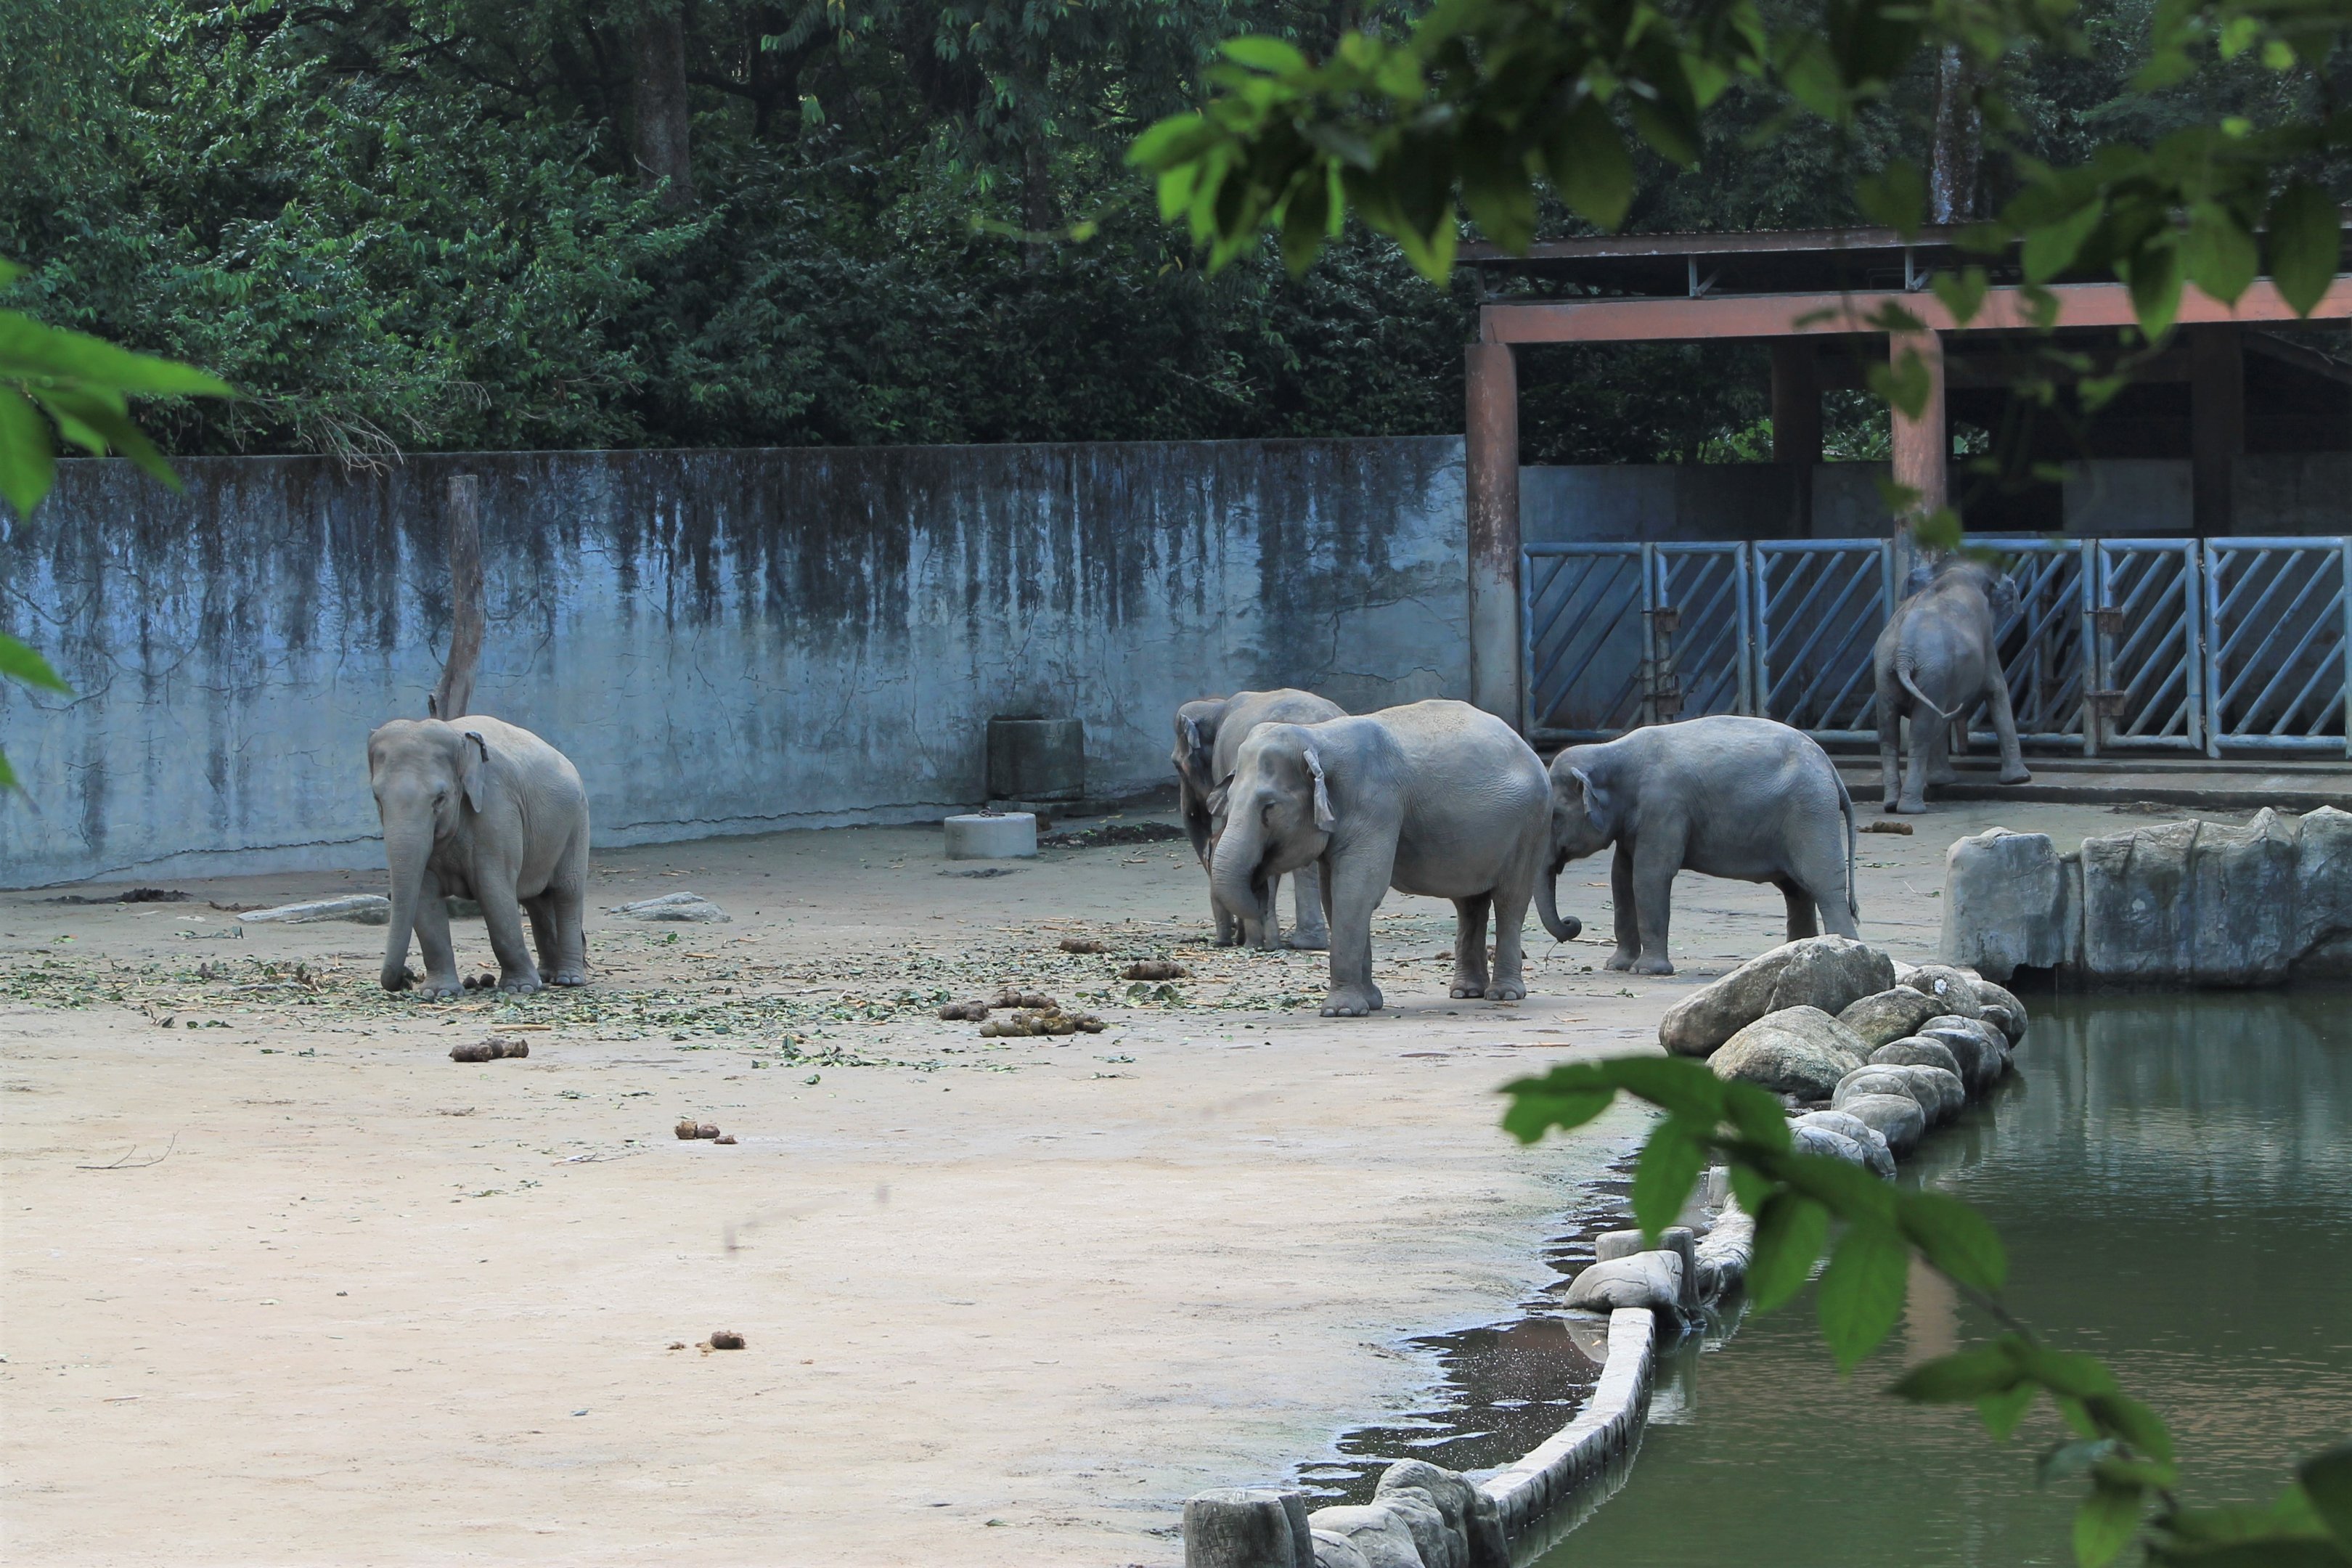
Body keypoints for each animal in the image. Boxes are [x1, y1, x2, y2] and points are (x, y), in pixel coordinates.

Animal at [367, 715, 591, 998]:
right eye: (377, 798)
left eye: (440, 798)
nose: (406, 979)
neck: (457, 737)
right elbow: (424, 896)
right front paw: (439, 993)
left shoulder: (497, 811)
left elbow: (493, 891)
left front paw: (520, 988)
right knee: (535, 901)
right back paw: (547, 976)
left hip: (577, 823)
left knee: (567, 893)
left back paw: (568, 980)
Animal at [1208, 699, 1552, 1017]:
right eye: (1228, 801)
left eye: (1269, 807)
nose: (1259, 883)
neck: (1318, 738)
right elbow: (1334, 897)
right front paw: (1370, 1004)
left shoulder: (1375, 805)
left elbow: (1357, 891)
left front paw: (1341, 1012)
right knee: (1470, 904)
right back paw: (1466, 992)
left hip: (1530, 827)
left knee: (1510, 900)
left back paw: (1504, 994)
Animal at [1534, 715, 1857, 976]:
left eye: (1555, 816)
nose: (1571, 923)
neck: (1611, 751)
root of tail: (1830, 767)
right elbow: (1621, 878)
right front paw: (1617, 967)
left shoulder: (1664, 807)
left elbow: (1650, 876)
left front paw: (1647, 972)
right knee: (1796, 890)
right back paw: (1790, 955)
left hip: (1811, 813)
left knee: (1823, 884)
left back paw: (1848, 950)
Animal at [1874, 556, 2031, 814]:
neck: (1959, 569)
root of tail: (1903, 652)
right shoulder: (1986, 639)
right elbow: (1997, 689)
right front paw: (2020, 780)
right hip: (1933, 674)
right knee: (1922, 730)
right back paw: (1912, 808)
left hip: (1886, 674)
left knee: (1889, 733)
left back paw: (1890, 804)